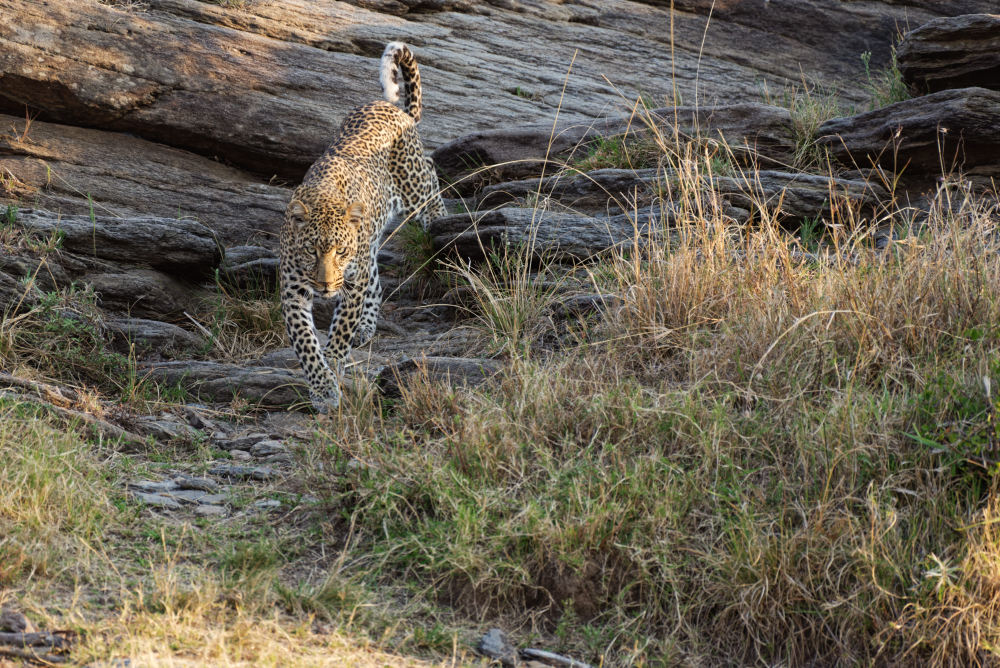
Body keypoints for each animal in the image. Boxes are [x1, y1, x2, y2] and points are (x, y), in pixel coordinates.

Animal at [276, 41, 444, 412]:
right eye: (311, 251)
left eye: (340, 251)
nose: (325, 286)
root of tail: (393, 108)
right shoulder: (293, 290)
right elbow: (306, 344)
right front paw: (323, 387)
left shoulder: (352, 280)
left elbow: (339, 331)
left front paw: (333, 365)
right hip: (370, 249)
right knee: (376, 283)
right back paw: (366, 328)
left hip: (415, 185)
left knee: (433, 193)